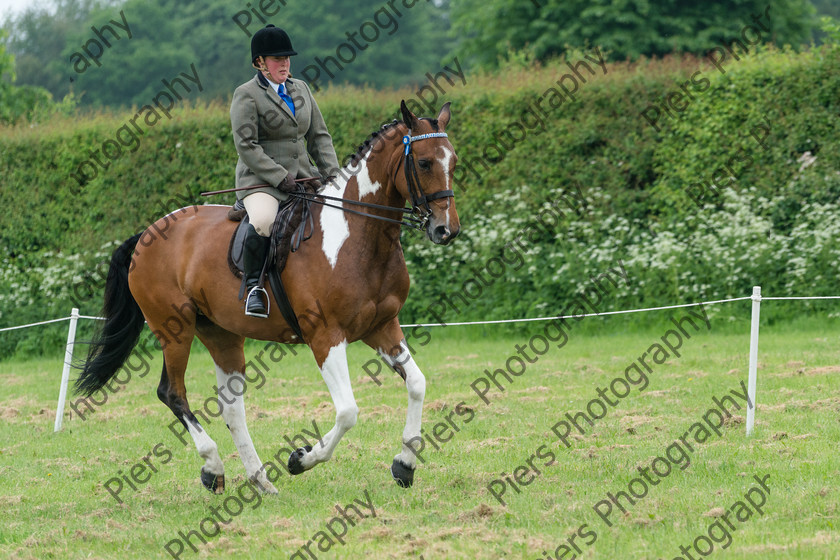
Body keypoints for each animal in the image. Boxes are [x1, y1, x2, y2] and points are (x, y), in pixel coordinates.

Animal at [74, 100, 460, 494]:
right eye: (424, 163)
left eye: (454, 162)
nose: (446, 230)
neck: (358, 236)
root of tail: (147, 234)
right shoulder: (326, 336)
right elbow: (348, 412)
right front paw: (300, 459)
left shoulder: (382, 326)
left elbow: (417, 384)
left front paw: (404, 465)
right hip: (174, 331)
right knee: (172, 393)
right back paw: (213, 468)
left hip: (221, 334)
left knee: (231, 407)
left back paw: (260, 481)